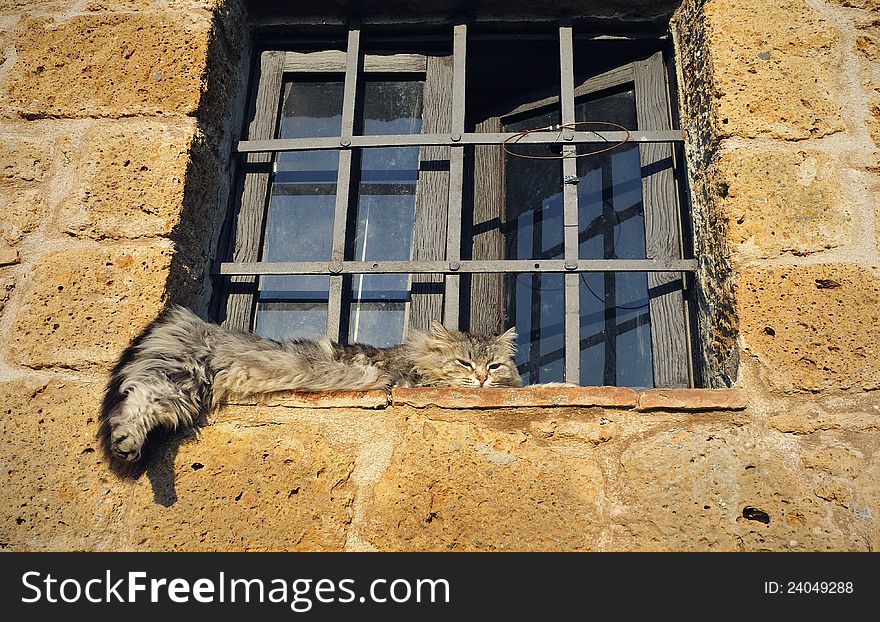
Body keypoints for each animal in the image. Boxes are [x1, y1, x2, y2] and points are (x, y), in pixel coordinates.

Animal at [100, 308, 520, 464]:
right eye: (464, 362)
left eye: (493, 365)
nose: (482, 378)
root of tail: (201, 327)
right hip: (178, 375)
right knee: (136, 400)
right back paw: (126, 444)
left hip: (183, 386)